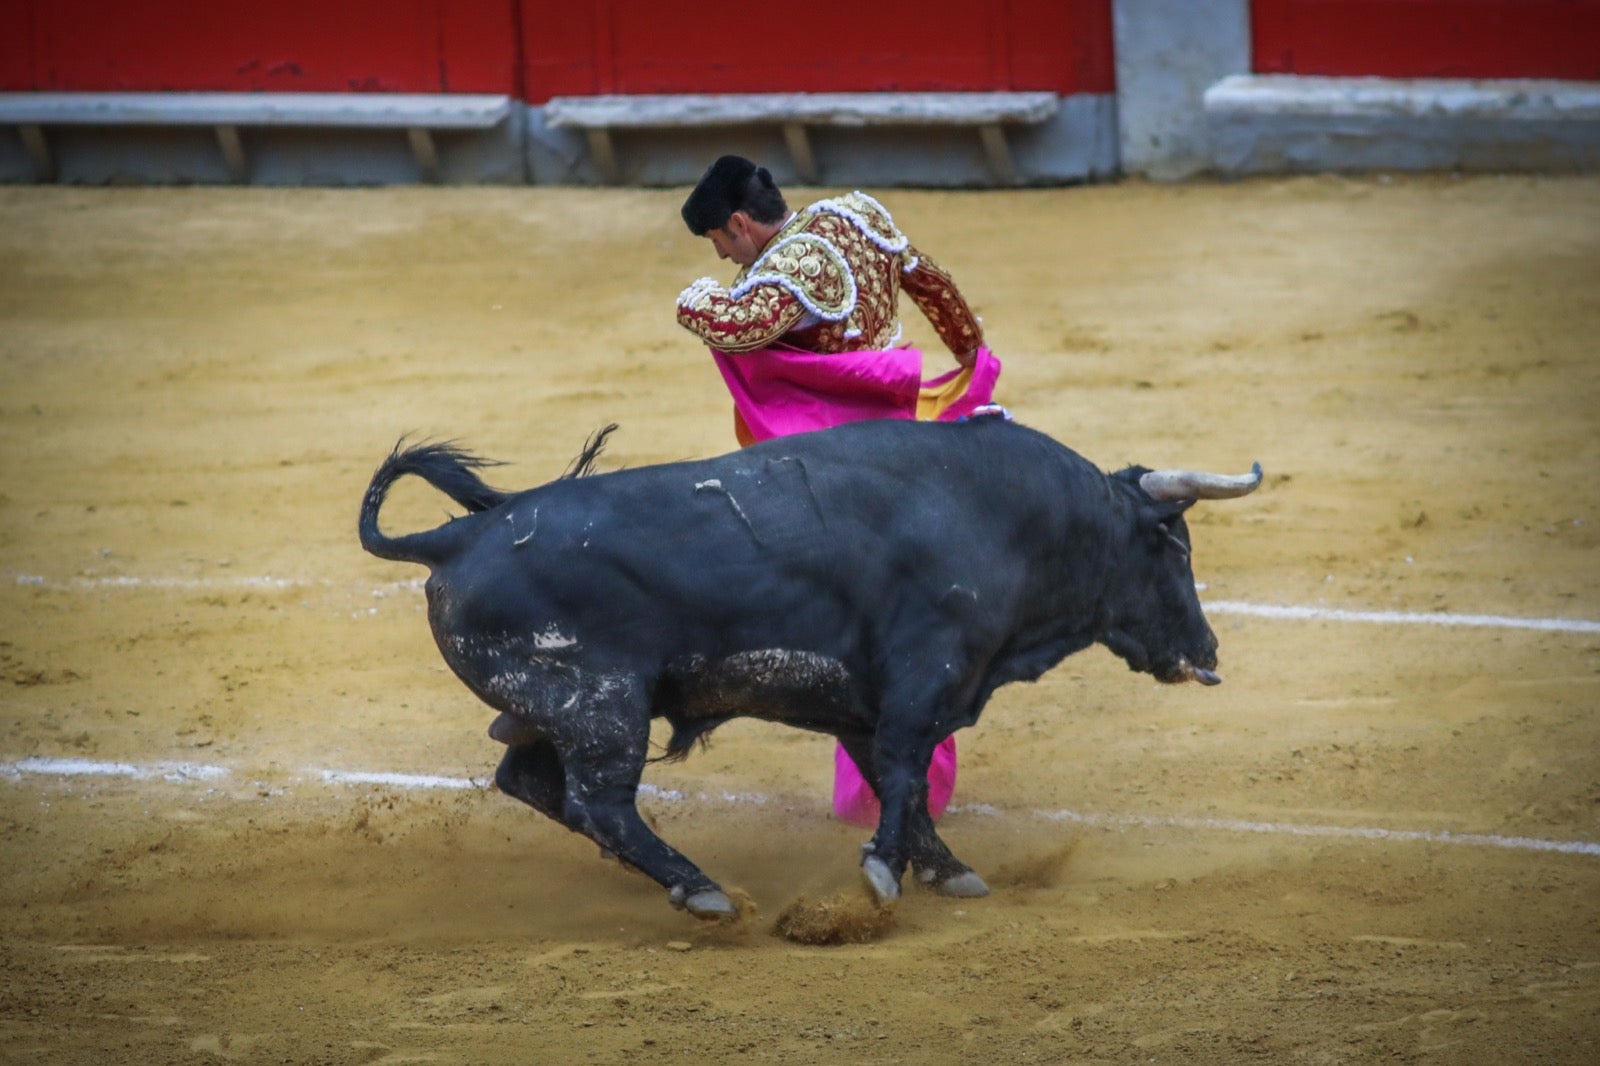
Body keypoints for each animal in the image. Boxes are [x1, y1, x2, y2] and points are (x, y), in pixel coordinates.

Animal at [360, 416, 1260, 915]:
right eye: (1177, 549)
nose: (1209, 652)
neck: (1013, 517)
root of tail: (457, 537)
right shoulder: (924, 675)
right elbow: (903, 773)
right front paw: (883, 876)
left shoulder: (871, 703)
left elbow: (903, 784)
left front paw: (946, 872)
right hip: (601, 707)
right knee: (601, 802)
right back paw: (704, 891)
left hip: (551, 711)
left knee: (531, 782)